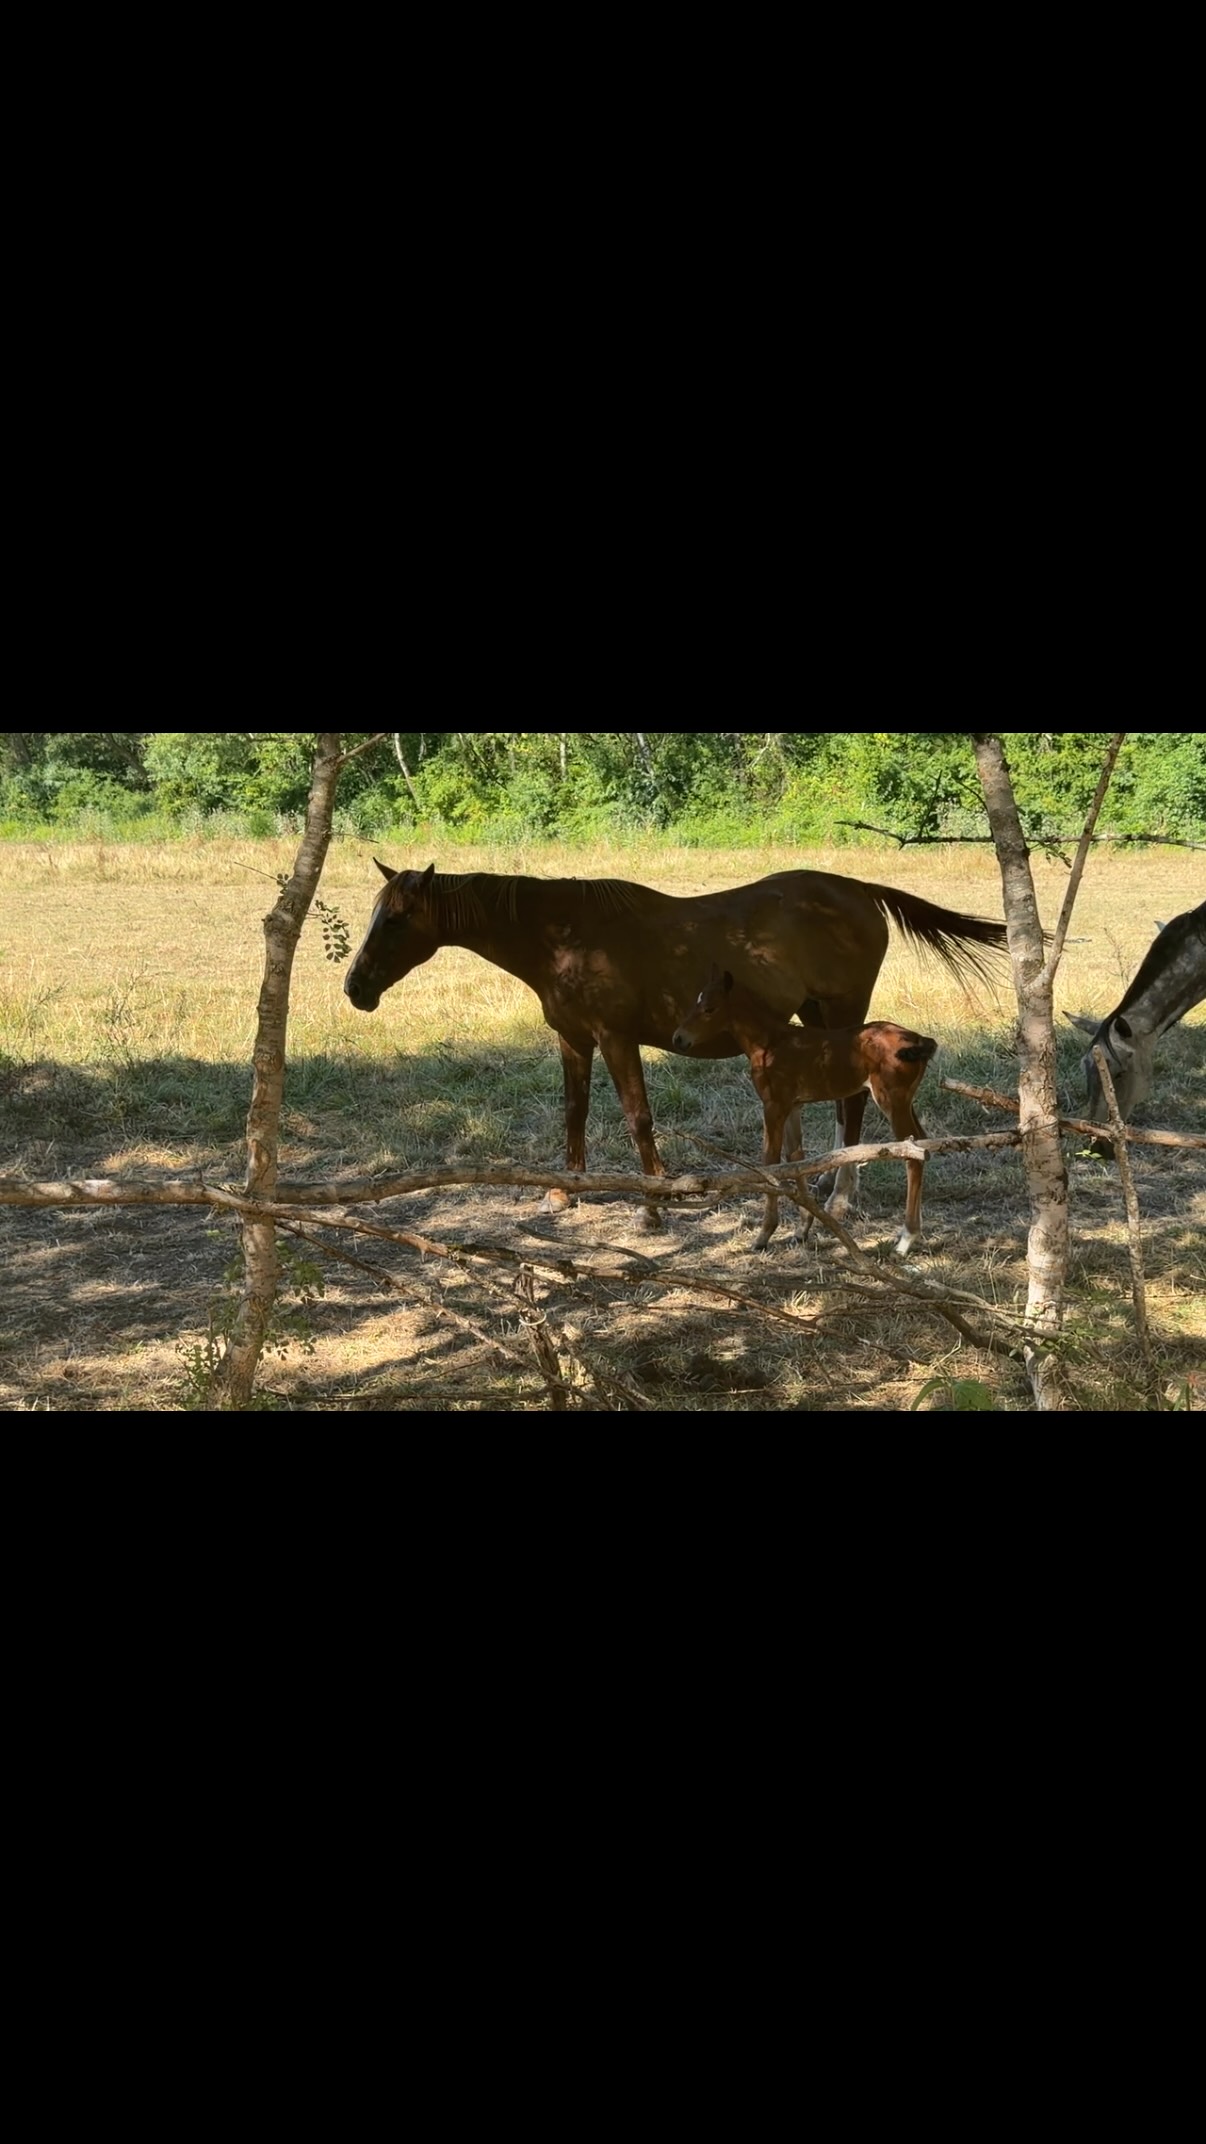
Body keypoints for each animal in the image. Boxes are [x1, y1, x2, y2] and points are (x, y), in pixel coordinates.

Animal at [672, 963, 938, 1252]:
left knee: (912, 1154)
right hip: (905, 1102)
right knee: (922, 1144)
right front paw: (801, 1230)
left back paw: (906, 1240)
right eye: (695, 1003)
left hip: (891, 1100)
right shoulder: (793, 1106)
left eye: (710, 1008)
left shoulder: (773, 1105)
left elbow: (770, 1161)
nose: (678, 1038)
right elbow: (795, 1158)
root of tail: (918, 1040)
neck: (769, 1043)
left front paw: (764, 1235)